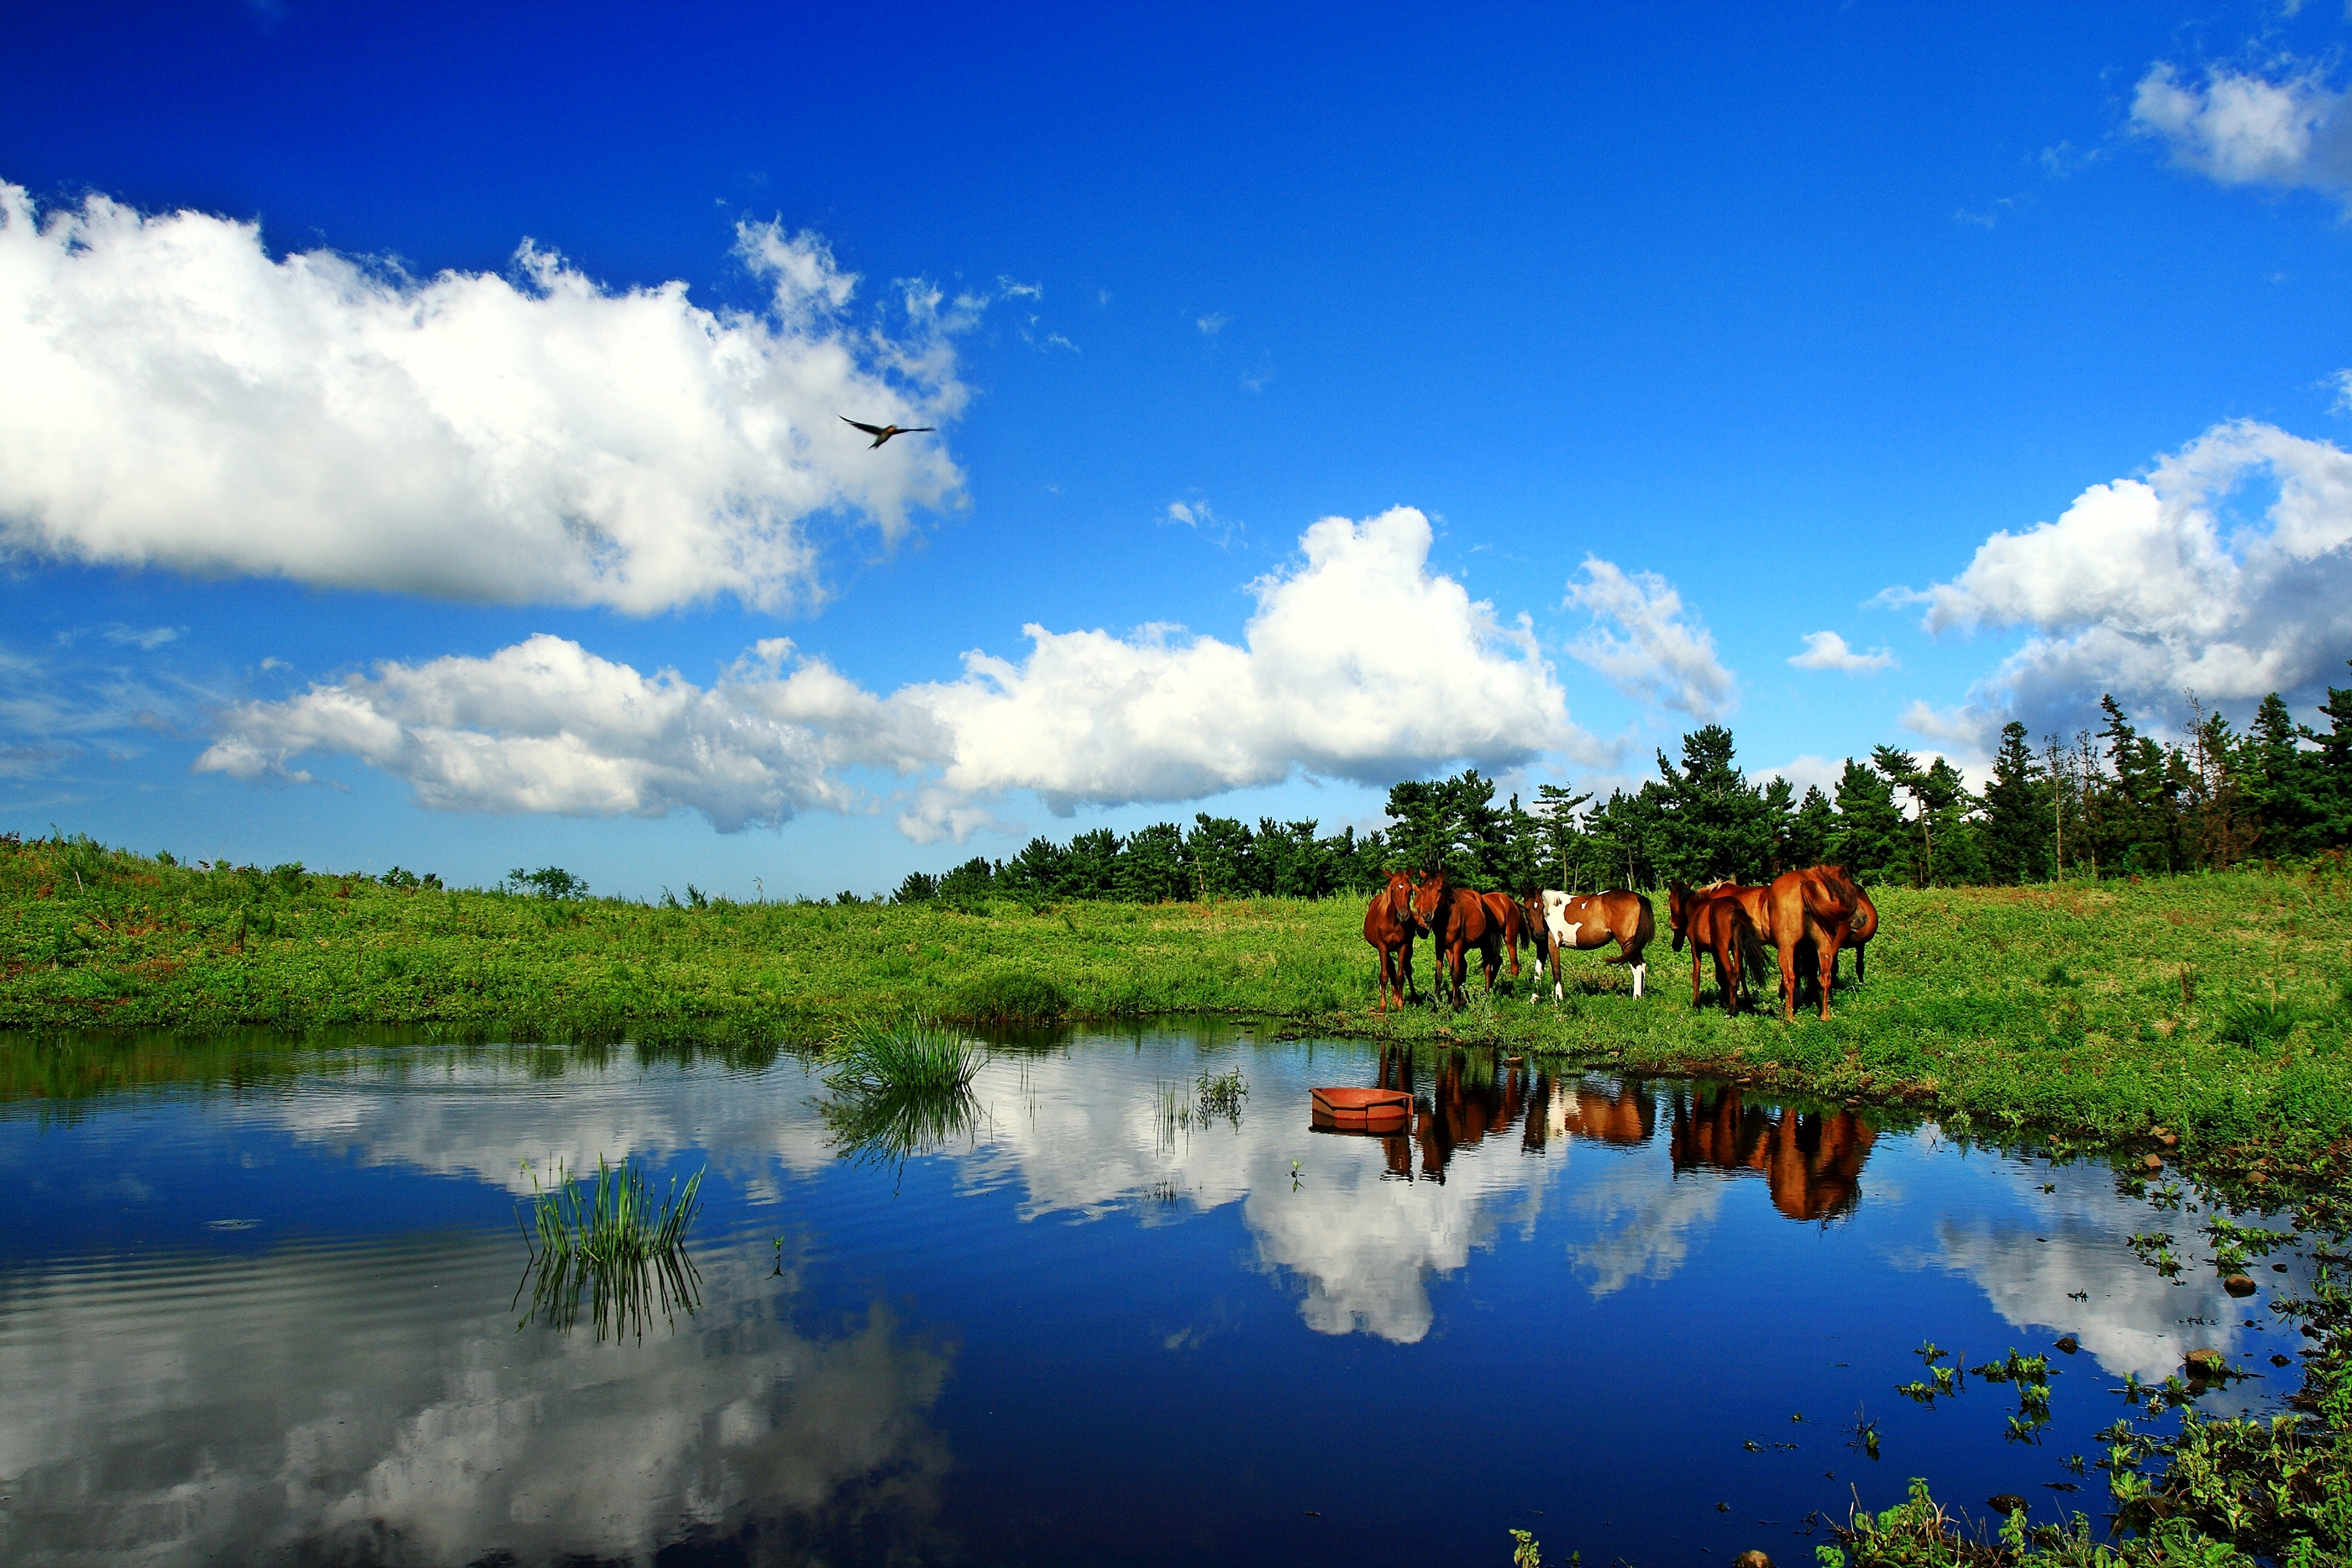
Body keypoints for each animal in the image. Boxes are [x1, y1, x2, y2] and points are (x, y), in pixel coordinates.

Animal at [1364, 869, 1411, 1020]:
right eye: (1393, 889)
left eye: (1410, 889)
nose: (1404, 915)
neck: (1393, 922)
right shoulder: (1382, 947)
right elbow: (1384, 976)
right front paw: (1382, 1007)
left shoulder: (1403, 946)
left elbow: (1400, 976)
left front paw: (1400, 1005)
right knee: (1390, 968)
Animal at [1401, 869, 1495, 1006]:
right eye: (1423, 890)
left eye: (1439, 890)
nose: (1427, 915)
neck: (1447, 918)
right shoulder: (1440, 945)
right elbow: (1440, 974)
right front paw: (1438, 1002)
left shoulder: (1457, 944)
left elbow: (1455, 974)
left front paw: (1455, 1005)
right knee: (1463, 966)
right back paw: (1463, 998)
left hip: (1484, 943)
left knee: (1487, 967)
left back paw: (1487, 996)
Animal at [1524, 889, 1656, 1001]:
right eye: (1526, 908)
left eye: (1542, 906)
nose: (1539, 934)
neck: (1548, 914)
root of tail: (1638, 897)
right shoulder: (1542, 946)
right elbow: (1537, 972)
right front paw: (1534, 999)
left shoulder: (1553, 944)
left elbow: (1556, 972)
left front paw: (1559, 999)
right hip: (1634, 946)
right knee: (1642, 966)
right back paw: (1641, 997)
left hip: (1627, 944)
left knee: (1637, 966)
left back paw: (1636, 998)